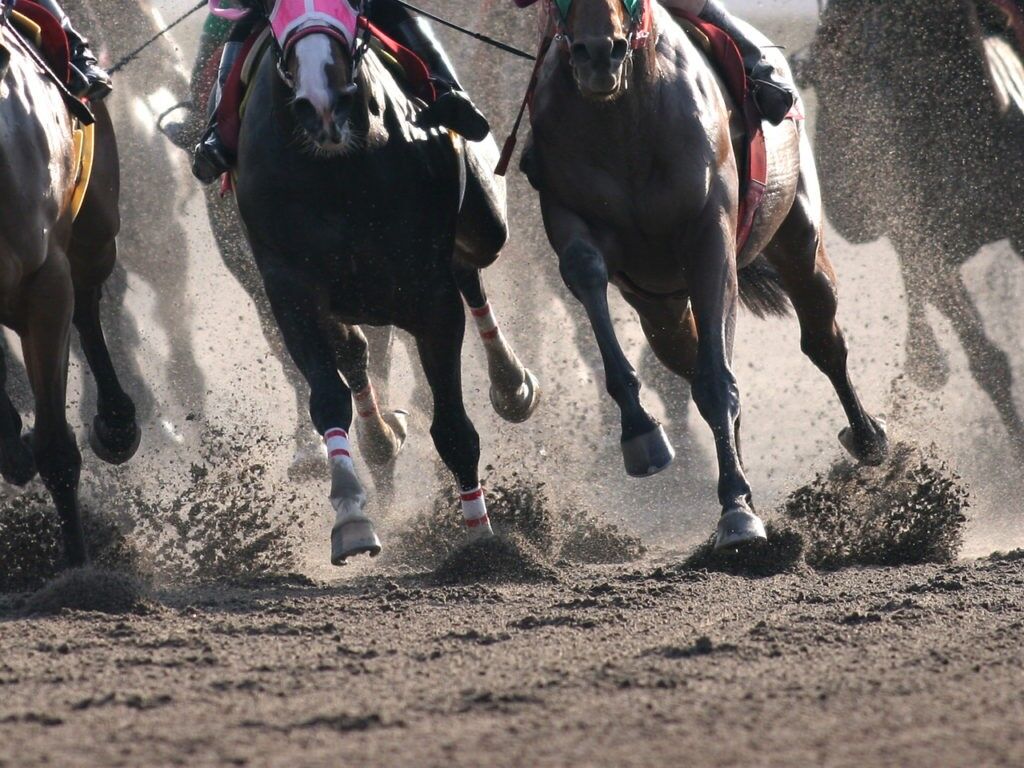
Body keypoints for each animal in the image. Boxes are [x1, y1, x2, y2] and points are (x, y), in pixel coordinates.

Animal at [0, 15, 140, 569]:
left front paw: (80, 570)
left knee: (87, 305)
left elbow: (57, 449)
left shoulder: (44, 283)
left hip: (96, 224)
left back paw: (118, 422)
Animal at [229, 0, 540, 565]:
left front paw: (481, 538)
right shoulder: (289, 289)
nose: (323, 104)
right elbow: (328, 397)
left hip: (485, 223)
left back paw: (512, 384)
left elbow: (453, 427)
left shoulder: (429, 292)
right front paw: (352, 519)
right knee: (354, 350)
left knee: (471, 268)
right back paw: (382, 437)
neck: (339, 174)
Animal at [524, 1, 884, 552]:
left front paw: (737, 515)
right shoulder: (570, 218)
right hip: (660, 305)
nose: (598, 53)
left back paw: (866, 438)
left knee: (823, 340)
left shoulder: (710, 235)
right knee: (687, 355)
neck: (624, 119)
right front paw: (641, 433)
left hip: (800, 238)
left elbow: (718, 377)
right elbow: (586, 272)